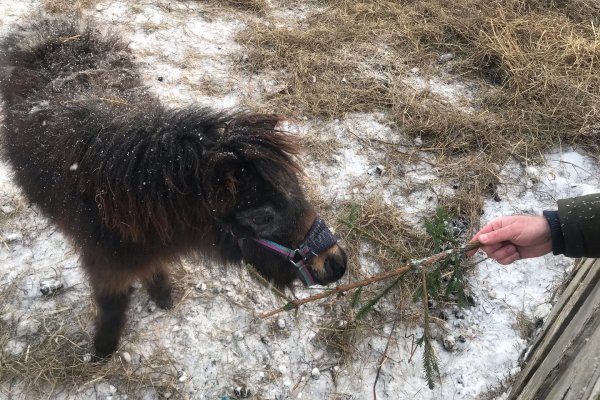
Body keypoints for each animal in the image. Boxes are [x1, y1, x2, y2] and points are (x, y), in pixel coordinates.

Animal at [0, 17, 346, 358]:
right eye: (261, 216)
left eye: (295, 185)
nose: (336, 262)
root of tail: (50, 24)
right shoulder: (106, 267)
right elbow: (112, 307)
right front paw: (103, 350)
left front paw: (163, 298)